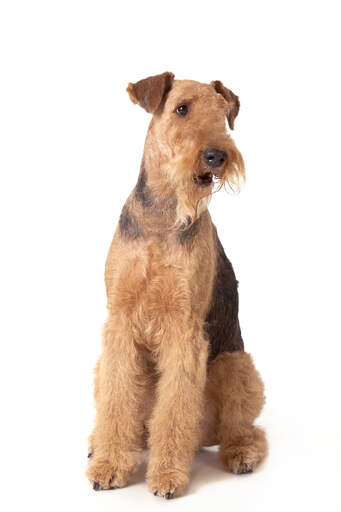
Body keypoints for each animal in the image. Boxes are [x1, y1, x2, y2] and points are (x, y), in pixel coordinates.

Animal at [86, 73, 266, 500]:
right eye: (182, 108)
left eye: (223, 113)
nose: (217, 155)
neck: (163, 216)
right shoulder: (120, 321)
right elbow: (117, 399)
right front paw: (109, 466)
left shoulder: (184, 327)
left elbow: (175, 408)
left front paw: (167, 475)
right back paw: (99, 443)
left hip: (236, 364)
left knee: (242, 428)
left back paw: (241, 453)